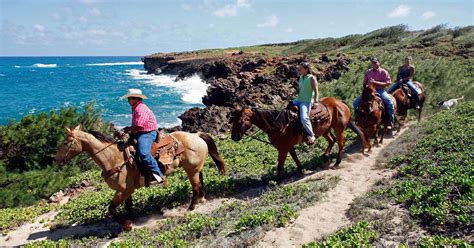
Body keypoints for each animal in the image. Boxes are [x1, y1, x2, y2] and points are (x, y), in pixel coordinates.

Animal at [55, 126, 226, 231]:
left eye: (66, 142)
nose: (56, 160)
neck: (113, 158)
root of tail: (195, 135)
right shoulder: (126, 190)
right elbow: (128, 206)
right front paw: (132, 220)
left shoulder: (123, 190)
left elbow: (111, 209)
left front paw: (127, 225)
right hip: (193, 168)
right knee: (200, 179)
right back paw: (202, 199)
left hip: (191, 170)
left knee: (195, 186)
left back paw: (191, 207)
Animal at [231, 97, 366, 182]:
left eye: (240, 121)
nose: (234, 137)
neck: (279, 125)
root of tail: (340, 102)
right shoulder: (288, 146)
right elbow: (295, 158)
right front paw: (301, 170)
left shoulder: (283, 149)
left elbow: (280, 165)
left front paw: (277, 180)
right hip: (325, 130)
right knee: (332, 140)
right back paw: (325, 158)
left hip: (338, 128)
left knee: (340, 143)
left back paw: (337, 163)